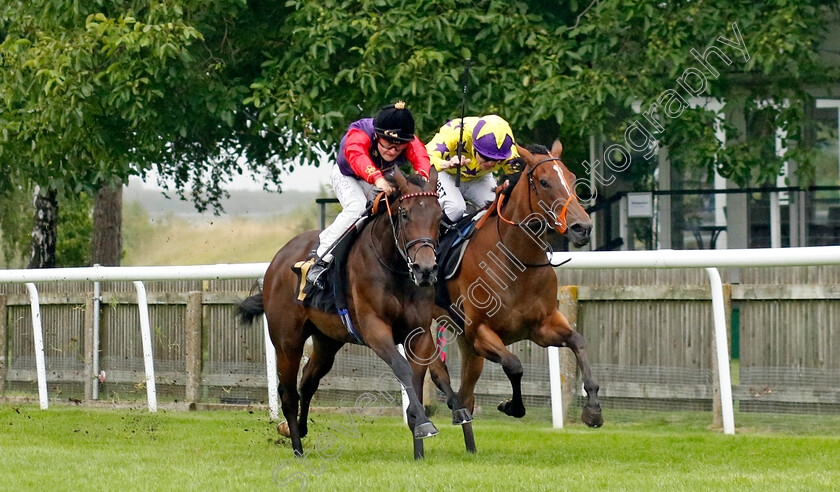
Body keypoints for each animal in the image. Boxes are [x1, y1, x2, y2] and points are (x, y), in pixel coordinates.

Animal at [238, 167, 446, 460]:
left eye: (438, 216)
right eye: (405, 214)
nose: (425, 270)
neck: (392, 265)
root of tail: (277, 260)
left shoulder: (419, 333)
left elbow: (416, 378)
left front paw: (419, 439)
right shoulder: (375, 330)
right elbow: (403, 368)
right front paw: (424, 425)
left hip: (327, 341)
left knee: (308, 381)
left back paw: (297, 429)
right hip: (287, 340)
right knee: (289, 392)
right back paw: (297, 447)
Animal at [430, 140, 600, 452]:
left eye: (571, 179)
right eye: (544, 182)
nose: (582, 227)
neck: (516, 259)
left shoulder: (541, 327)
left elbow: (578, 341)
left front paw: (593, 409)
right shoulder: (480, 332)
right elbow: (514, 365)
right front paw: (511, 406)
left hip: (466, 344)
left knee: (466, 394)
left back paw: (470, 446)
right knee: (437, 376)